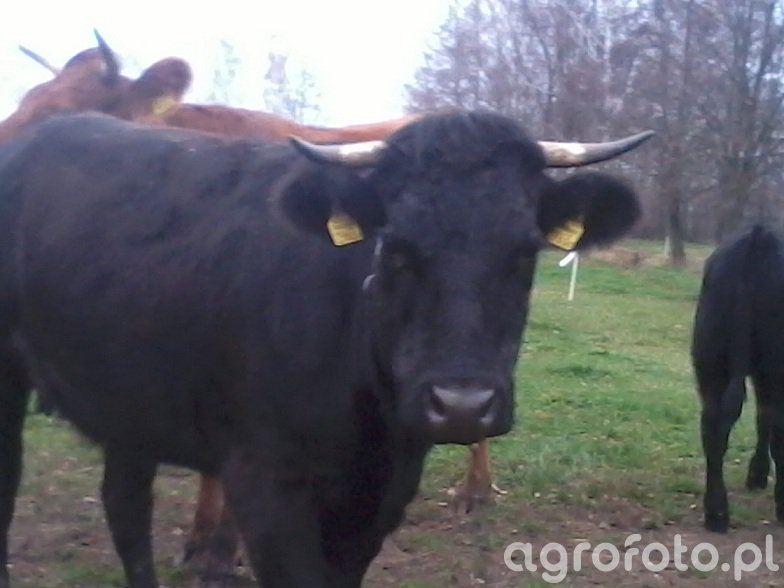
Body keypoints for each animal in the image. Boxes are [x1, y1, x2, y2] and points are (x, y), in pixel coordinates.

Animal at [0, 109, 650, 587]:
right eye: (394, 248)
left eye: (523, 252)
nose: (462, 404)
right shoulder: (264, 482)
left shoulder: (379, 494)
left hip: (131, 394)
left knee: (126, 506)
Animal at [691, 224, 783, 533]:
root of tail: (760, 235)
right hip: (774, 365)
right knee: (777, 425)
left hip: (709, 359)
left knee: (713, 423)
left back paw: (716, 512)